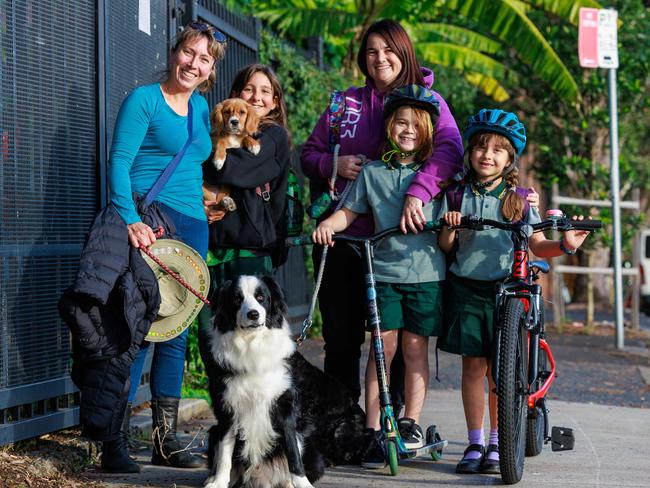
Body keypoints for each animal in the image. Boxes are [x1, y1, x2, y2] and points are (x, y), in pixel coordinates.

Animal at [204, 276, 364, 486]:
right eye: (237, 299)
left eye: (261, 297)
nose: (253, 314)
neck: (252, 345)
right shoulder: (226, 409)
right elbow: (224, 452)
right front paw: (218, 483)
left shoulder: (284, 408)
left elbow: (292, 453)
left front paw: (302, 484)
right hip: (213, 432)